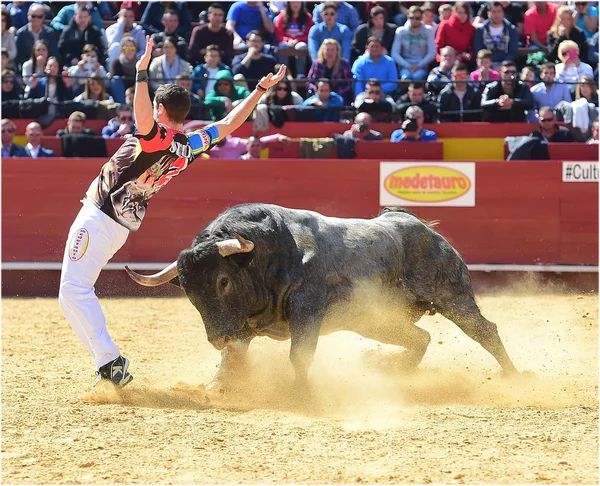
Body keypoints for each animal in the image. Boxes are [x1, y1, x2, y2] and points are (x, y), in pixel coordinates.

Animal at [124, 203, 516, 392]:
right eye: (189, 293)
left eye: (222, 282)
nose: (217, 337)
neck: (268, 255)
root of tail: (422, 229)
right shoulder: (243, 325)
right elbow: (232, 357)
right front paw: (217, 386)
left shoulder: (306, 311)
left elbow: (299, 355)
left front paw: (300, 392)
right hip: (375, 321)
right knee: (419, 338)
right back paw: (393, 371)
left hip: (452, 296)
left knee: (485, 331)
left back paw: (514, 376)